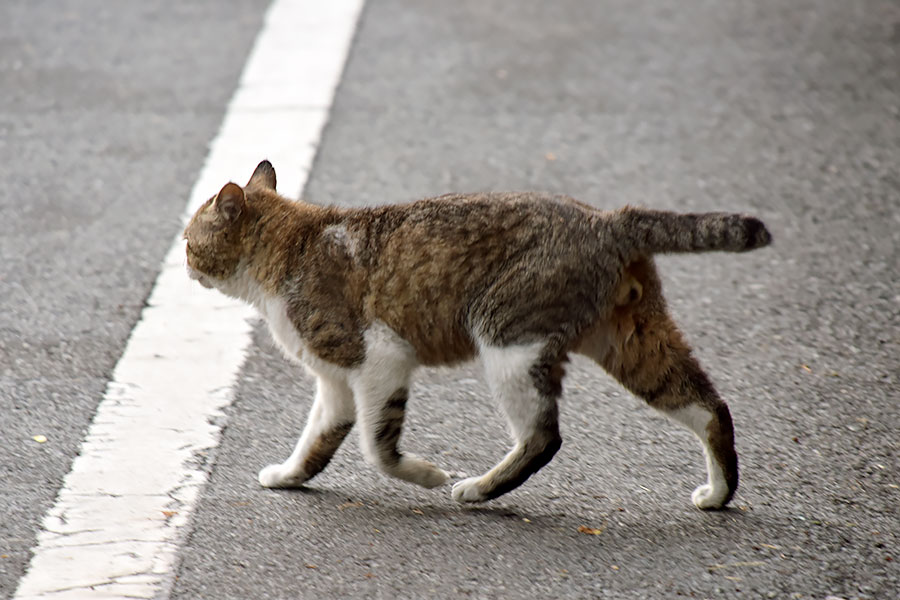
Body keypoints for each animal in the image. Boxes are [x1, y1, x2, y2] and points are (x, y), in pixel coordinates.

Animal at [185, 161, 772, 510]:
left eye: (189, 241)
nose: (184, 265)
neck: (293, 246)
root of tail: (606, 219)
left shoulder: (379, 361)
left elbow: (378, 449)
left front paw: (426, 475)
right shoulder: (335, 383)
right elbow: (317, 440)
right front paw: (290, 476)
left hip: (507, 337)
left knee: (544, 437)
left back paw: (479, 489)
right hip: (632, 341)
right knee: (710, 407)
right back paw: (719, 493)